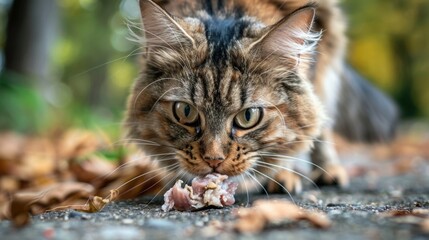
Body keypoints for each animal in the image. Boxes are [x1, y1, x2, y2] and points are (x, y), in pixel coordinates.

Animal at [123, 0, 394, 194]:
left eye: (248, 116)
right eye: (185, 112)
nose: (213, 160)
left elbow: (294, 136)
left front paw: (283, 174)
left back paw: (328, 171)